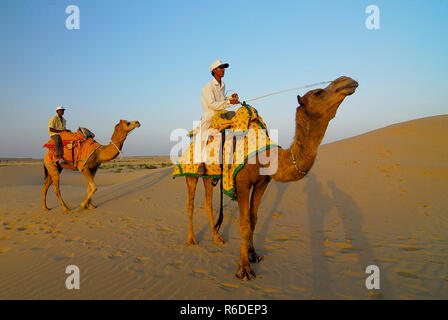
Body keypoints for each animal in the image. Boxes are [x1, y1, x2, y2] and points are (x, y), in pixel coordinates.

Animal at [184, 75, 358, 280]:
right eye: (318, 92)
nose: (347, 80)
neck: (268, 155)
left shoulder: (262, 183)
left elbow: (254, 219)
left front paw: (253, 255)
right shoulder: (241, 183)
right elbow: (244, 223)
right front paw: (244, 269)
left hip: (210, 178)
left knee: (208, 203)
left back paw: (217, 238)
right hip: (190, 174)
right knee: (190, 203)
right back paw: (192, 239)